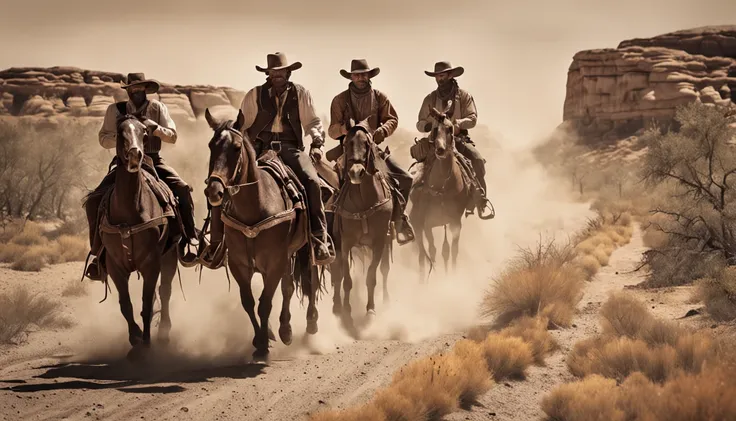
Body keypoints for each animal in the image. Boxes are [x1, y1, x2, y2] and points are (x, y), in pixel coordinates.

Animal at [89, 112, 181, 358]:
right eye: (120, 133)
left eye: (145, 133)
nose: (134, 155)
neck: (129, 212)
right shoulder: (115, 266)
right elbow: (126, 304)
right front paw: (135, 337)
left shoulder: (151, 264)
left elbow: (147, 304)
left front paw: (147, 343)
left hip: (170, 257)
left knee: (165, 291)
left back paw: (165, 333)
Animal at [201, 107, 320, 358]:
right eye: (211, 145)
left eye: (236, 148)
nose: (214, 190)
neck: (255, 206)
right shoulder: (239, 264)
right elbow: (249, 302)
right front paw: (260, 339)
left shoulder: (273, 262)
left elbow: (266, 302)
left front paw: (264, 344)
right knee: (288, 287)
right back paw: (283, 330)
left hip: (305, 249)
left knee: (309, 280)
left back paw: (309, 323)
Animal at [330, 119, 394, 332]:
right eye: (347, 143)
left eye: (367, 143)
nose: (356, 172)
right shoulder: (346, 243)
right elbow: (347, 280)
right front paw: (347, 314)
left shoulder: (380, 242)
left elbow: (372, 276)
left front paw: (371, 311)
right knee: (337, 275)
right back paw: (337, 307)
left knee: (384, 271)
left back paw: (386, 301)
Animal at [408, 106, 472, 282]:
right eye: (435, 129)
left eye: (450, 128)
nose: (440, 150)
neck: (443, 184)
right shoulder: (427, 224)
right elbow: (432, 250)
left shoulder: (455, 222)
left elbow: (453, 250)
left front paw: (453, 276)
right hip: (417, 225)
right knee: (422, 254)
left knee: (443, 251)